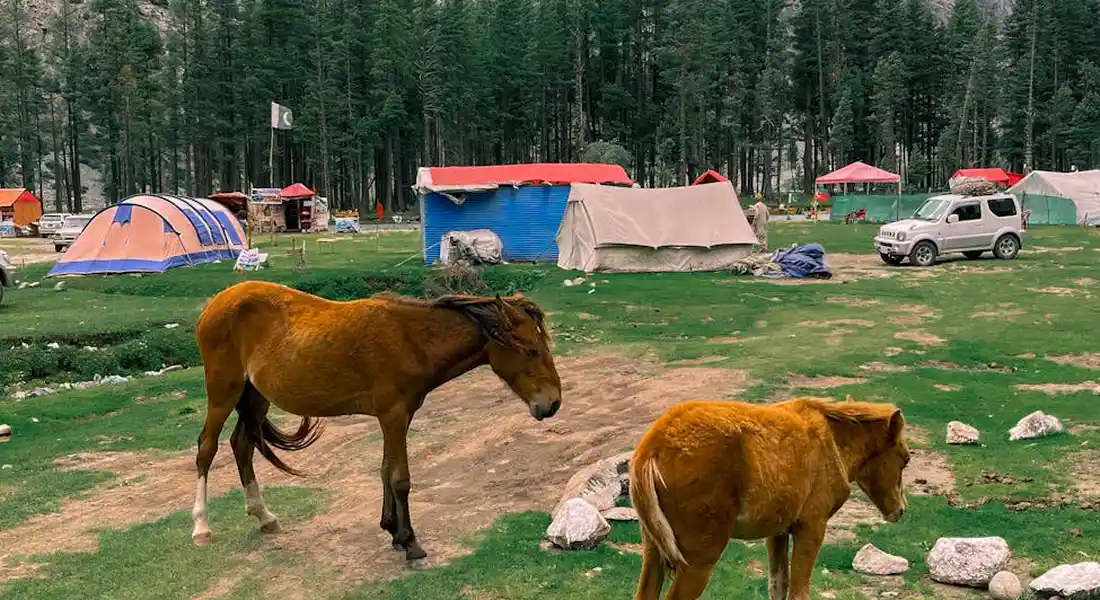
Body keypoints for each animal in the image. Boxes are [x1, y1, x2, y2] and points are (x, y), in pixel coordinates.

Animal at [190, 280, 561, 563]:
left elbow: (385, 470)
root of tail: (215, 304)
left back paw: (264, 516)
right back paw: (201, 528)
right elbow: (400, 478)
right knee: (206, 449)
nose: (553, 403)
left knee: (242, 445)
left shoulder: (394, 418)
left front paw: (393, 531)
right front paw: (411, 542)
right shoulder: (394, 415)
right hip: (223, 393)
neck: (412, 339)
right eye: (531, 350)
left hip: (255, 397)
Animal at [629, 397, 909, 600]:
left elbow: (777, 586)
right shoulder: (812, 527)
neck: (832, 442)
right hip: (698, 559)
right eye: (905, 459)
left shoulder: (777, 532)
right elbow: (798, 592)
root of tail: (651, 448)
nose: (901, 510)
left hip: (653, 549)